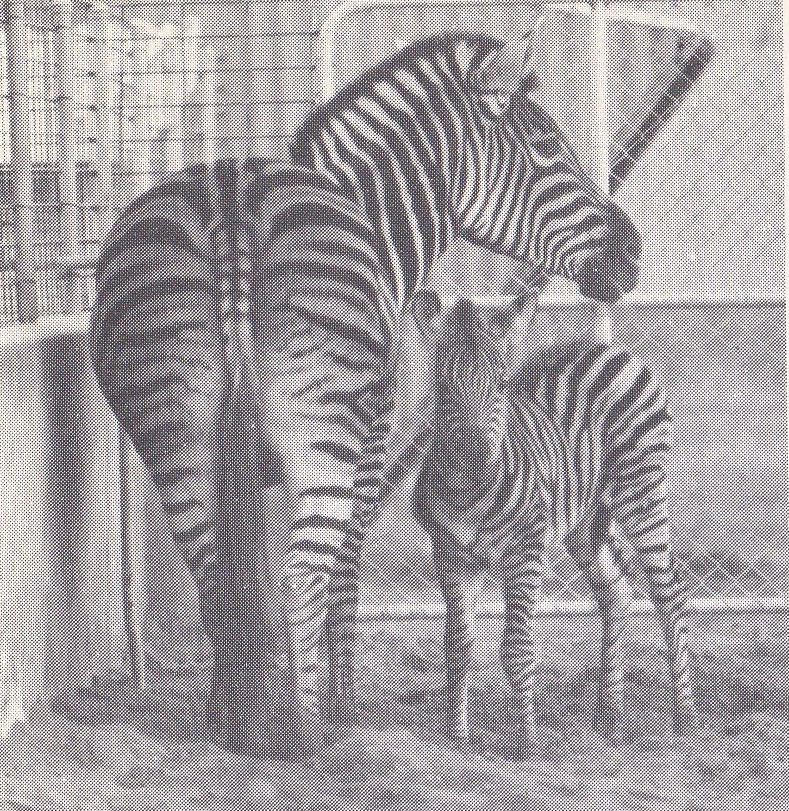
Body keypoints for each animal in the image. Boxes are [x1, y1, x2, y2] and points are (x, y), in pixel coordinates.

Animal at [91, 31, 643, 758]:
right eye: (548, 145)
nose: (633, 250)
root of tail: (231, 196)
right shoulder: (371, 450)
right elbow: (343, 581)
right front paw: (340, 705)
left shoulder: (245, 467)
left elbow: (244, 585)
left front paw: (238, 715)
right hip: (324, 433)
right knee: (303, 577)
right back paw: (308, 739)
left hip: (174, 438)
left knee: (214, 577)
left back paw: (246, 734)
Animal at [407, 289, 697, 747]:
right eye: (445, 390)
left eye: (502, 387)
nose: (480, 465)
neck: (468, 493)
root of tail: (611, 349)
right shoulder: (451, 558)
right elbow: (457, 648)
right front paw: (458, 737)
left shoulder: (525, 553)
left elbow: (517, 649)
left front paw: (525, 741)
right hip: (585, 523)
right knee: (614, 591)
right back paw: (608, 720)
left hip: (642, 491)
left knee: (671, 595)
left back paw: (684, 723)